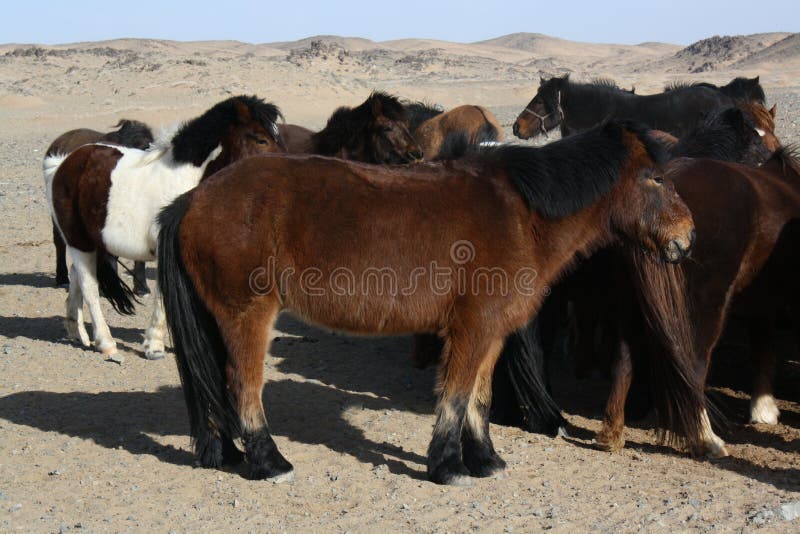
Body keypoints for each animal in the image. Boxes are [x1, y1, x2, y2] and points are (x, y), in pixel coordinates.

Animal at [158, 123, 700, 488]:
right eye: (655, 178)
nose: (688, 237)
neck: (521, 214)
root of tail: (194, 199)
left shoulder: (492, 332)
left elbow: (479, 398)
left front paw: (485, 460)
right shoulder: (472, 328)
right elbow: (455, 397)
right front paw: (447, 466)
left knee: (214, 385)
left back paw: (228, 453)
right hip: (247, 315)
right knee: (243, 387)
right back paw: (270, 462)